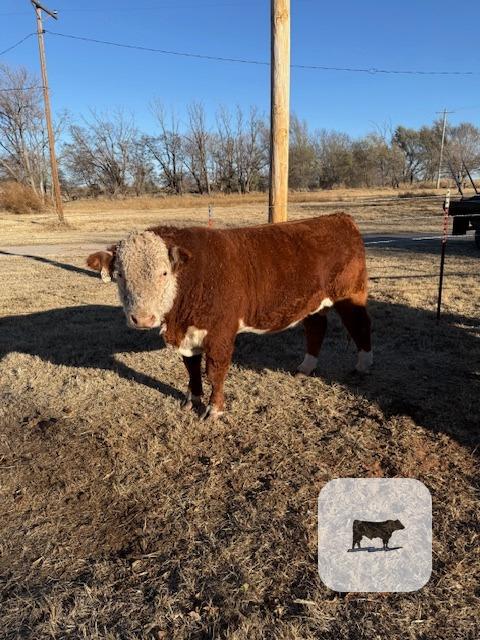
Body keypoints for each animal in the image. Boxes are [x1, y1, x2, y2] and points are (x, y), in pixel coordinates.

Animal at [86, 214, 372, 419]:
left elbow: (215, 371)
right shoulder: (189, 334)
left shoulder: (220, 332)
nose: (142, 319)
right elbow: (191, 368)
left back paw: (362, 366)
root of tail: (339, 217)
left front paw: (214, 410)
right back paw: (305, 368)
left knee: (359, 325)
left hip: (350, 293)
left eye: (164, 273)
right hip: (313, 301)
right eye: (119, 275)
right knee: (316, 327)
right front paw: (192, 401)